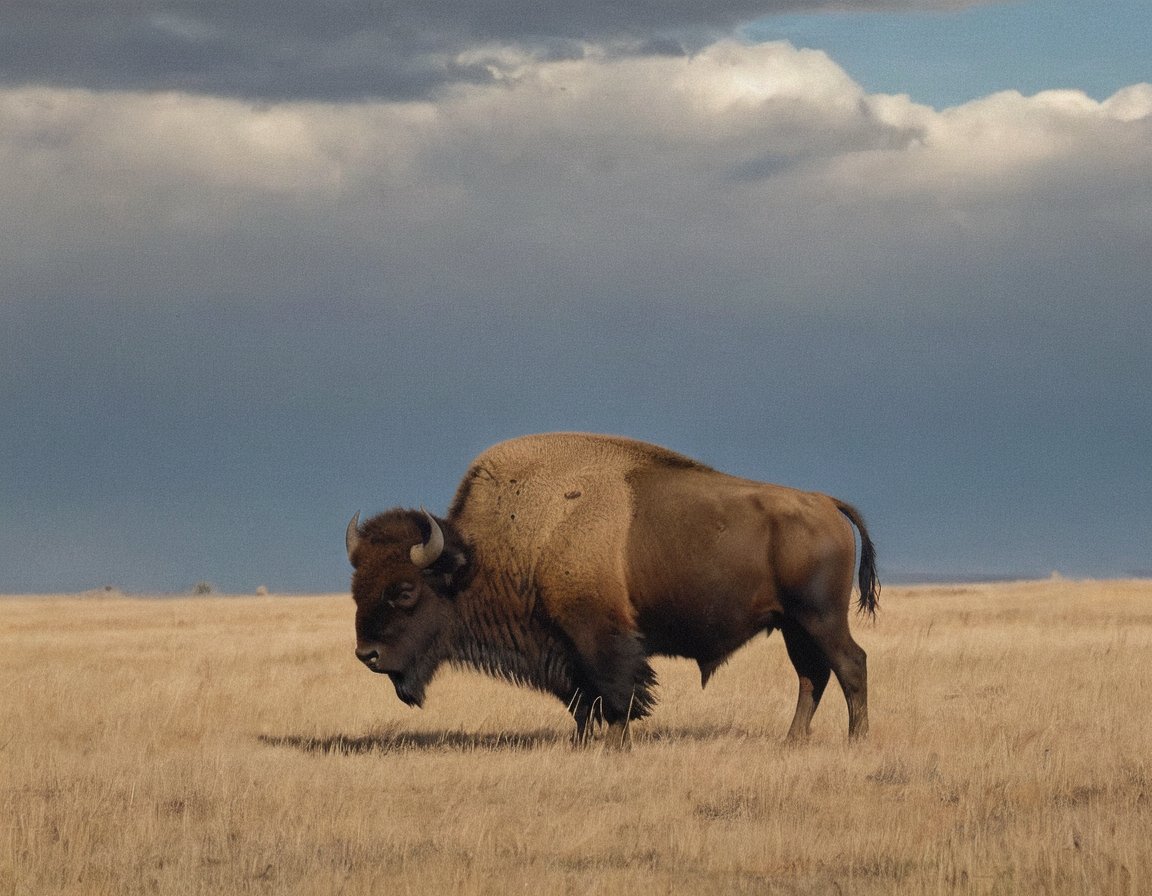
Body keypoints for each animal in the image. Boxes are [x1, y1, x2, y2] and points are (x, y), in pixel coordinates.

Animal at [345, 433, 875, 741]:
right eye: (357, 585)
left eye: (405, 590)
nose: (367, 655)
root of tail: (825, 502)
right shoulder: (564, 649)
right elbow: (583, 702)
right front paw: (583, 744)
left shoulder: (599, 638)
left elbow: (617, 697)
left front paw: (616, 746)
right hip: (793, 625)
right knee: (812, 676)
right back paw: (793, 741)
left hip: (821, 617)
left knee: (850, 664)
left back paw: (856, 740)